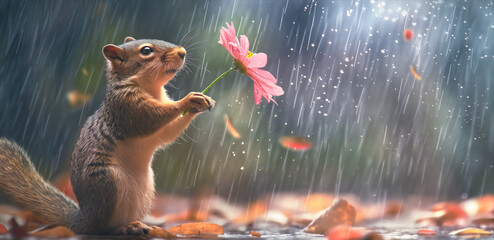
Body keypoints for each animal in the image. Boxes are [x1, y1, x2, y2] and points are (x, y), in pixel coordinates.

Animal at [0, 36, 216, 235]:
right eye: (146, 51)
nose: (182, 52)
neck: (150, 88)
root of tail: (84, 219)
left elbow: (166, 134)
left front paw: (200, 103)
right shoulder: (127, 107)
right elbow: (151, 118)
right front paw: (188, 99)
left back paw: (138, 224)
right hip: (108, 184)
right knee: (104, 228)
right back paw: (125, 228)